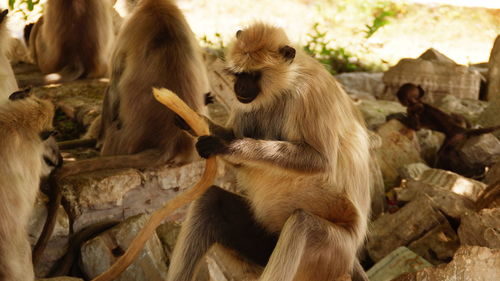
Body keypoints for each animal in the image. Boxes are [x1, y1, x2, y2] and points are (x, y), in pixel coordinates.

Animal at [170, 23, 374, 280]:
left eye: (253, 75)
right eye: (239, 74)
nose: (239, 87)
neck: (284, 85)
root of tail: (352, 257)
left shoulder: (309, 93)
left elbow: (320, 161)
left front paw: (226, 146)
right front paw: (191, 121)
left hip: (334, 252)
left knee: (300, 225)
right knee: (211, 200)